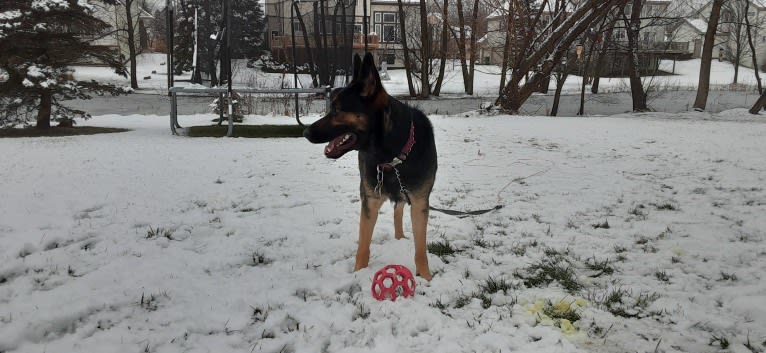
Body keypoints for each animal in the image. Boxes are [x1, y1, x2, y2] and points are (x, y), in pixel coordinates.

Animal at [304, 52, 438, 280]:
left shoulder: (420, 202)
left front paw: (426, 278)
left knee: (398, 209)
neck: (393, 157)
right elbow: (363, 245)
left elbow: (421, 249)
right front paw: (358, 273)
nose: (305, 132)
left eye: (337, 110)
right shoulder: (370, 201)